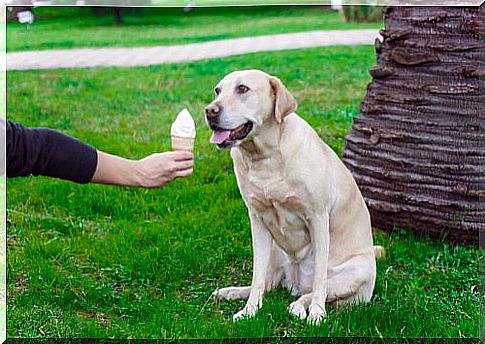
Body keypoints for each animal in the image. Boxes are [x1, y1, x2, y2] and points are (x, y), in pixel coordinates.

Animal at [204, 69, 382, 322]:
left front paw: (317, 313)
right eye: (217, 91)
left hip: (357, 271)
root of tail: (297, 285)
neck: (264, 157)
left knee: (316, 290)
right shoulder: (257, 220)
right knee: (267, 283)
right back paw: (231, 292)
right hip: (275, 251)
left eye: (242, 89)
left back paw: (300, 306)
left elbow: (320, 280)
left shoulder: (318, 218)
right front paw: (249, 310)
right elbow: (257, 278)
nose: (210, 111)